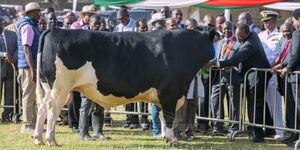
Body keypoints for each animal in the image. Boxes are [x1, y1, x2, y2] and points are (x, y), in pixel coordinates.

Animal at [32, 27, 213, 145]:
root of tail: (55, 30)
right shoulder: (170, 92)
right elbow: (169, 117)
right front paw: (172, 139)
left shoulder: (163, 95)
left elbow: (162, 116)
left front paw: (164, 137)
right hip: (60, 88)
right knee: (52, 109)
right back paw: (51, 140)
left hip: (47, 86)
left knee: (42, 107)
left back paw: (38, 138)